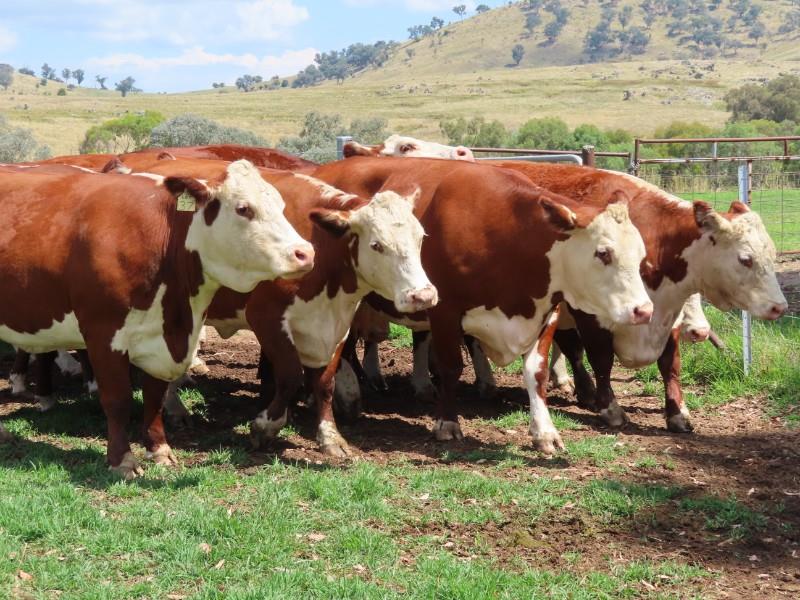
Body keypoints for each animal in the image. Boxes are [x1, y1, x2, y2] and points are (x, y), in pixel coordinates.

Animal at [0, 160, 314, 477]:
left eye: (281, 205)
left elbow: (154, 396)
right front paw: (122, 460)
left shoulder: (162, 339)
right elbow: (118, 399)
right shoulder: (103, 334)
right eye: (243, 208)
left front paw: (159, 449)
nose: (306, 252)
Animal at [105, 155, 437, 456]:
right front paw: (265, 427)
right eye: (376, 245)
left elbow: (325, 382)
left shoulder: (338, 324)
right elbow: (290, 375)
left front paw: (330, 436)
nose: (422, 295)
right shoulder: (267, 318)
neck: (321, 245)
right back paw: (174, 409)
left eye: (420, 237)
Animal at [311, 156, 653, 453]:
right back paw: (348, 392)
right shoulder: (444, 310)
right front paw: (447, 424)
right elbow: (450, 367)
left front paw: (545, 432)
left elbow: (537, 372)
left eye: (640, 253)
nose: (644, 310)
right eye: (603, 253)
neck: (509, 235)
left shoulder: (547, 311)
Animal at [493, 161, 787, 432]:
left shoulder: (668, 314)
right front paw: (611, 410)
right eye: (745, 259)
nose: (779, 307)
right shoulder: (590, 314)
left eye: (772, 254)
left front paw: (677, 414)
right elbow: (601, 360)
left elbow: (670, 365)